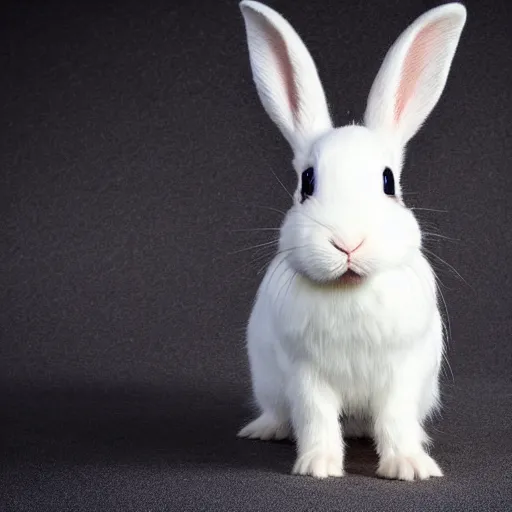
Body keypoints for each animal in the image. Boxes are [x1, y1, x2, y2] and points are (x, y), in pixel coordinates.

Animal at [238, 1, 466, 480]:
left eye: (388, 181)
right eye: (306, 182)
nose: (347, 243)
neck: (349, 289)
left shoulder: (402, 372)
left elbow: (395, 418)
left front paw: (409, 467)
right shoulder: (305, 374)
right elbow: (316, 418)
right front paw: (318, 467)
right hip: (268, 382)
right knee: (281, 412)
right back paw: (264, 429)